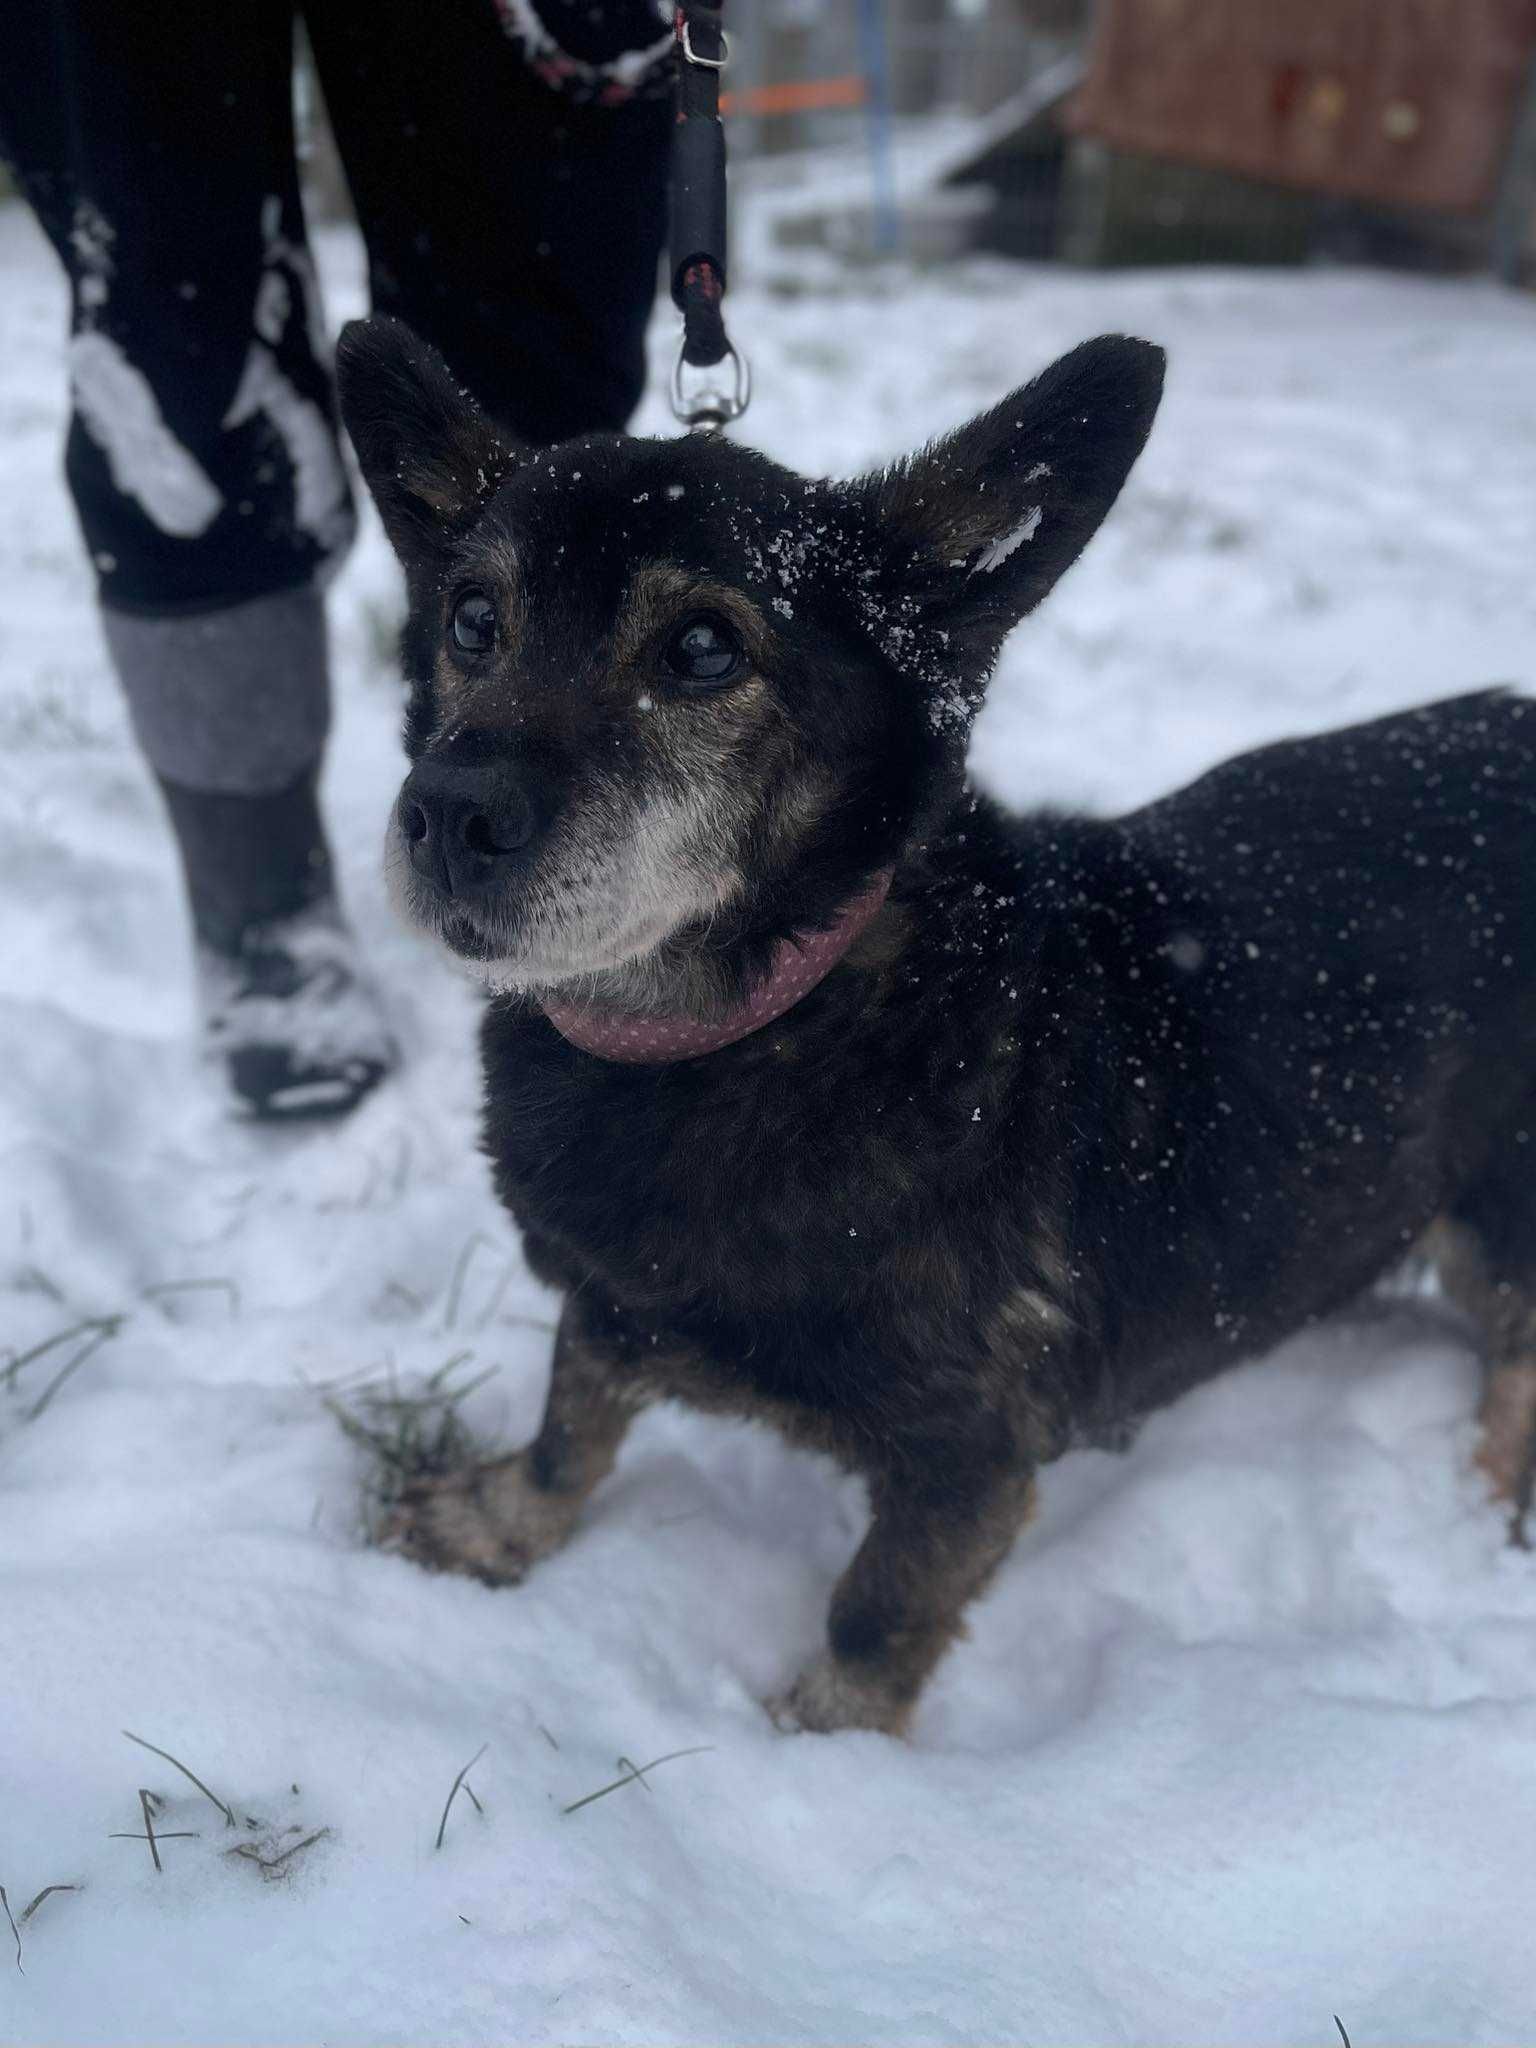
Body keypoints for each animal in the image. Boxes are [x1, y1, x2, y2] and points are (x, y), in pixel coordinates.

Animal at [335, 319, 1536, 1728]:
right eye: (474, 619)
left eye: (704, 647)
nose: (448, 813)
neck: (761, 1021)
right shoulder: (609, 1297)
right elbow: (570, 1420)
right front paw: (502, 1526)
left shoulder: (969, 1461)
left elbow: (874, 1611)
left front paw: (814, 1745)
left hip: (1504, 1213)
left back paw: (1486, 1508)